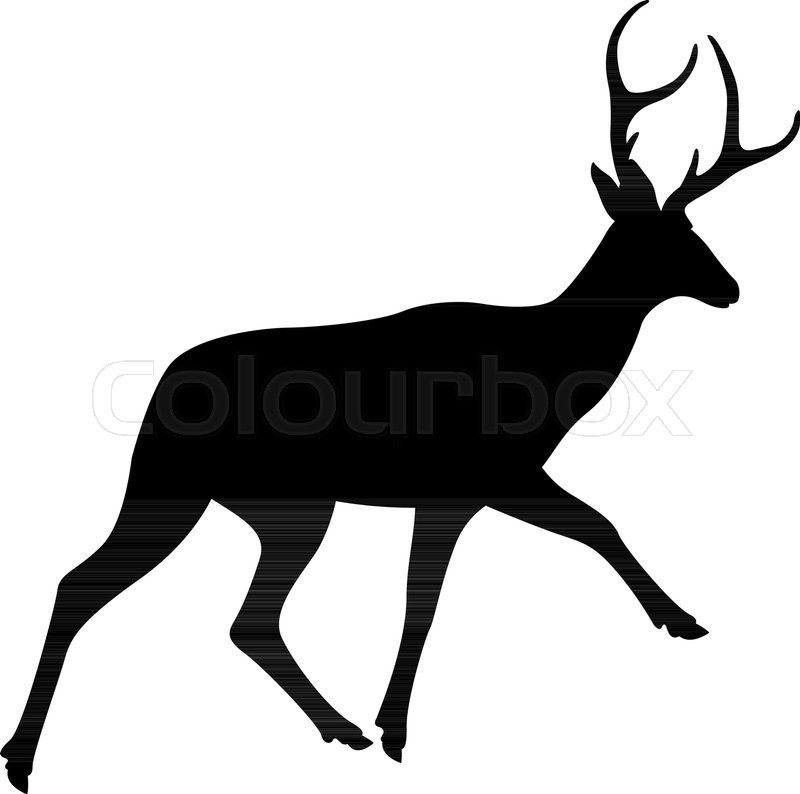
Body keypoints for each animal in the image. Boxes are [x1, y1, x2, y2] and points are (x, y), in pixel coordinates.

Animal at [2, 2, 798, 790]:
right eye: (667, 236)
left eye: (694, 227)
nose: (731, 288)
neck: (548, 370)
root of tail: (159, 394)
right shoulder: (488, 473)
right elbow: (580, 529)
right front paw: (682, 619)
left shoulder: (462, 493)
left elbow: (437, 592)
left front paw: (389, 727)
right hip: (200, 490)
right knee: (103, 588)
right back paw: (25, 756)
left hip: (264, 505)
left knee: (226, 614)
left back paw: (336, 729)